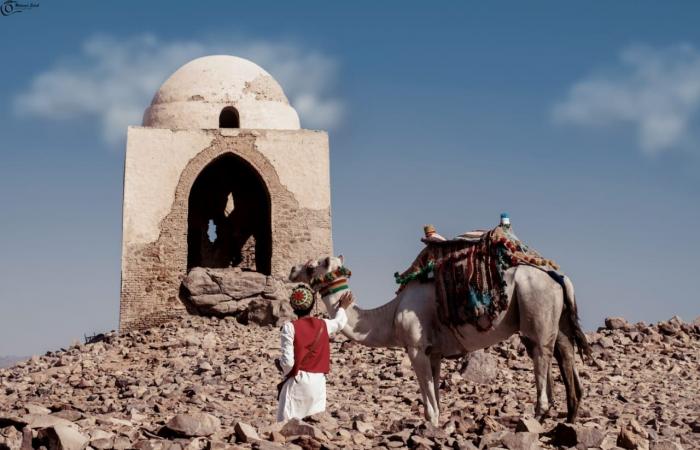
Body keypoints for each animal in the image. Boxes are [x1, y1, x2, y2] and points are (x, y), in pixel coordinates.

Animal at [290, 256, 592, 426]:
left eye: (311, 266)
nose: (292, 270)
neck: (390, 315)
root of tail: (559, 277)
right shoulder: (434, 353)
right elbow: (436, 390)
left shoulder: (415, 349)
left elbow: (428, 401)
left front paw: (432, 424)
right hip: (556, 318)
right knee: (563, 350)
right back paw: (569, 415)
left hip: (535, 308)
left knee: (543, 352)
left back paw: (538, 415)